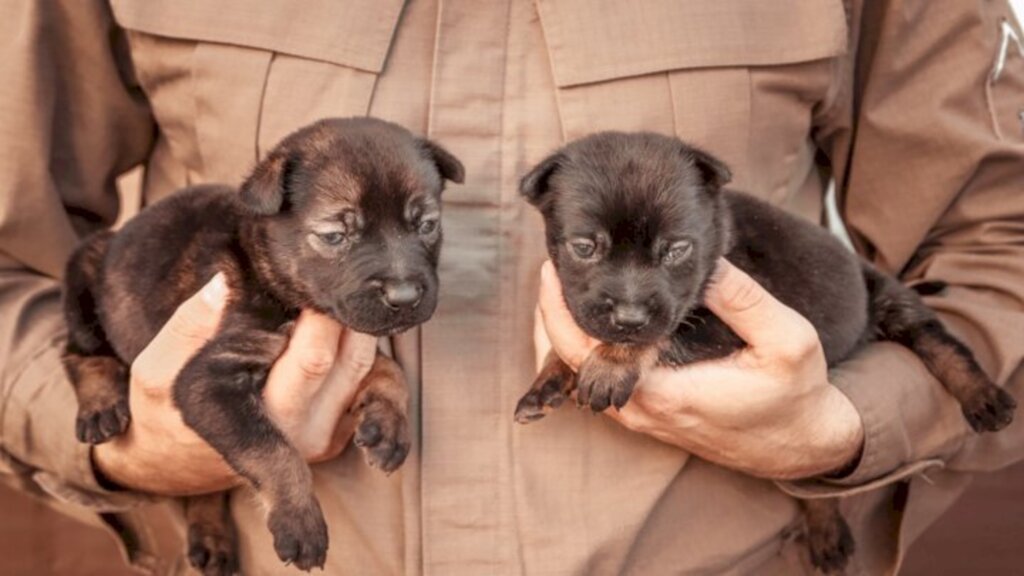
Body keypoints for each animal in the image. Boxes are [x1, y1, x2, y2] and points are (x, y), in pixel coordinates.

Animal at [62, 115, 464, 569]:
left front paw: (388, 423)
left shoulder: (348, 328)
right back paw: (100, 404)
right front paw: (299, 520)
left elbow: (389, 368)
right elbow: (270, 448)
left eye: (427, 226)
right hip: (86, 275)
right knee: (79, 353)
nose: (405, 298)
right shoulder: (207, 379)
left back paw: (211, 537)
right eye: (334, 235)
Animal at [516, 131, 1011, 573]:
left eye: (677, 250)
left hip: (892, 302)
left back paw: (984, 398)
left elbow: (664, 332)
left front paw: (612, 362)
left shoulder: (715, 323)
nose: (630, 316)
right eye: (584, 247)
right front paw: (550, 377)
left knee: (941, 344)